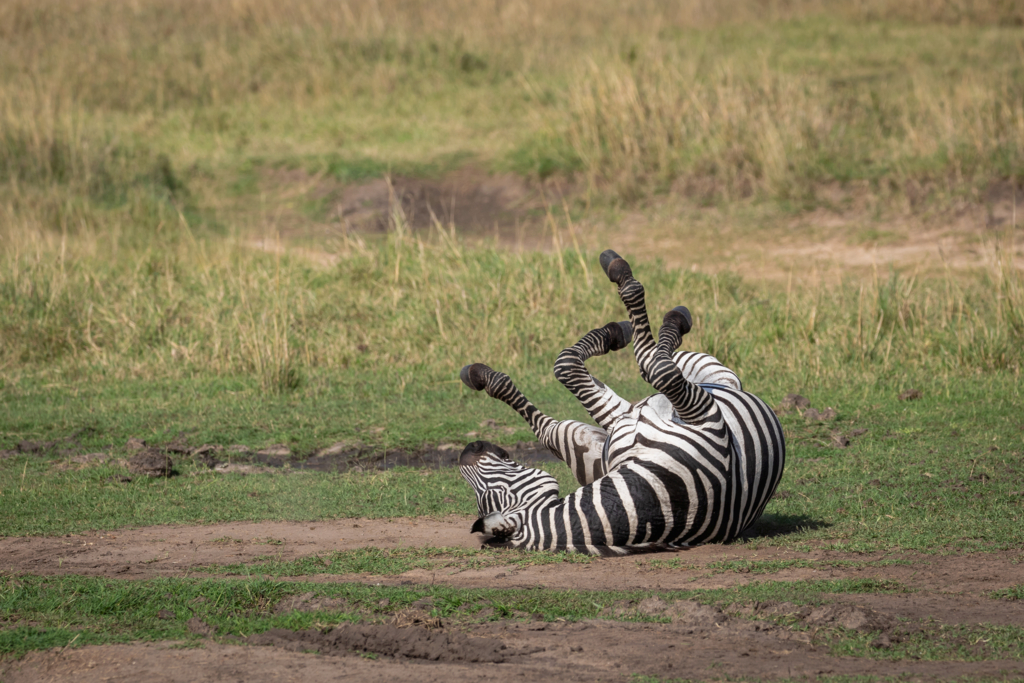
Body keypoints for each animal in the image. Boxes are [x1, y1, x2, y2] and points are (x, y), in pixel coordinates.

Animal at [458, 250, 785, 555]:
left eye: (492, 491)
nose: (467, 449)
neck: (652, 497)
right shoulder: (704, 420)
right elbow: (657, 370)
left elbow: (562, 377)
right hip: (683, 388)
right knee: (649, 361)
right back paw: (658, 317)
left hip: (633, 414)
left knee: (618, 367)